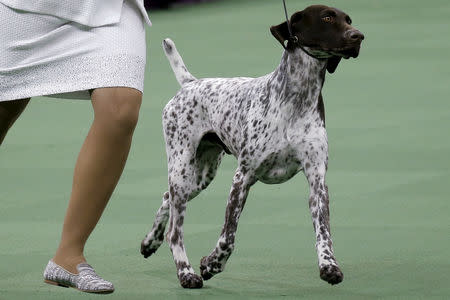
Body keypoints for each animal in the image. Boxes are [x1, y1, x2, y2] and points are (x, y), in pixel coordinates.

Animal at [142, 4, 364, 288]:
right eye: (327, 18)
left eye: (349, 20)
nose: (358, 36)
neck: (297, 99)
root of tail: (191, 83)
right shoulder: (243, 178)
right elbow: (228, 237)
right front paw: (212, 264)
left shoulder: (317, 181)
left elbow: (323, 233)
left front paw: (329, 266)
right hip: (182, 169)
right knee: (175, 232)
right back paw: (186, 272)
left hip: (201, 175)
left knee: (166, 198)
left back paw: (150, 241)